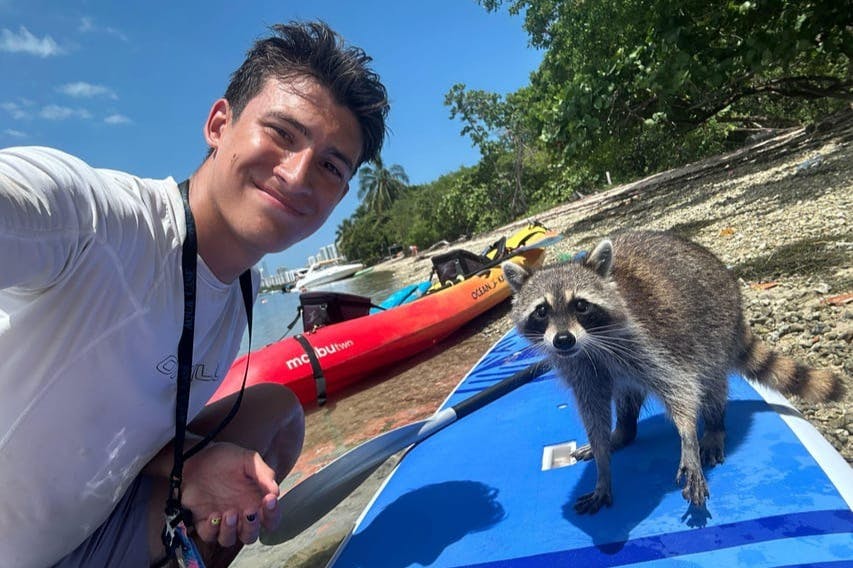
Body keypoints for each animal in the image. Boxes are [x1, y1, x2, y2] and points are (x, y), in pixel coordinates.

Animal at [502, 230, 845, 514]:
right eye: (542, 311)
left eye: (581, 305)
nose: (563, 340)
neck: (590, 345)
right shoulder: (580, 368)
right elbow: (593, 412)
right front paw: (603, 466)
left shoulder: (649, 342)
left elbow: (681, 387)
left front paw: (688, 437)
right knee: (627, 395)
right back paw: (623, 431)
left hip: (714, 328)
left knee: (711, 383)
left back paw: (714, 425)